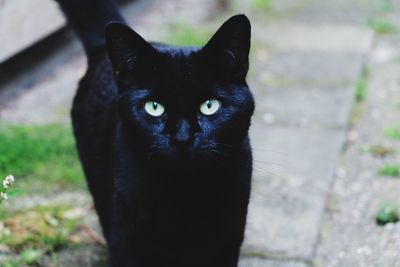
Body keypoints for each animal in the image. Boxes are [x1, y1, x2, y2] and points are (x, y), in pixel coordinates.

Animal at [55, 1, 255, 266]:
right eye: (154, 107)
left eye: (210, 105)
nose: (182, 138)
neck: (186, 194)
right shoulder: (126, 240)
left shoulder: (228, 237)